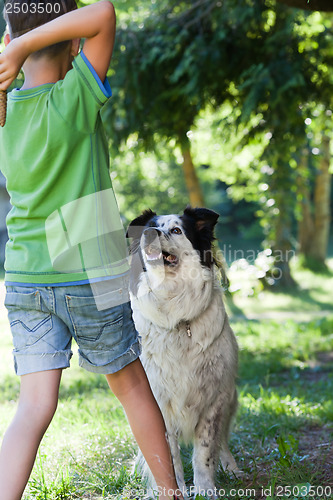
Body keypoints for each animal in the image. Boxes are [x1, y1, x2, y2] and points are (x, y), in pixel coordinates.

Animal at [126, 206, 237, 496]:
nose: (150, 234)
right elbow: (168, 455)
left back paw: (231, 467)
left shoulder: (215, 399)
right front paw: (174, 491)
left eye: (176, 230)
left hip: (230, 399)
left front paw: (206, 489)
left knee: (222, 440)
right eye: (148, 228)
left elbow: (205, 451)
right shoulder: (158, 402)